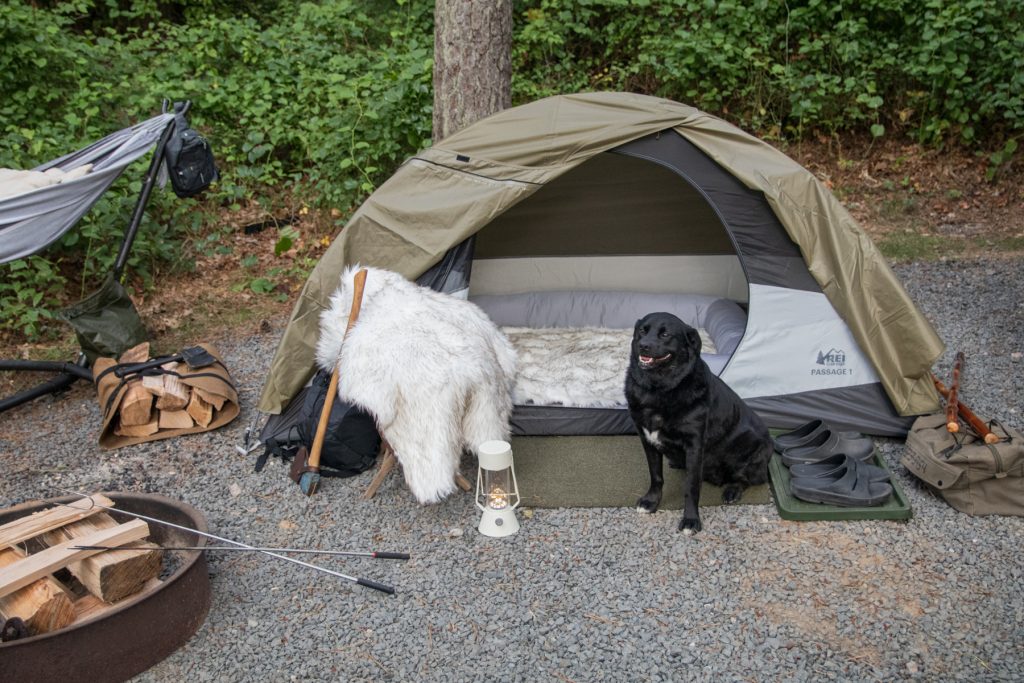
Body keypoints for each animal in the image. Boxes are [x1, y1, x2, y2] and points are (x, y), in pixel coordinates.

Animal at [622, 313, 770, 532]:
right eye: (642, 330)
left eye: (665, 334)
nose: (644, 346)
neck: (658, 390)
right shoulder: (647, 438)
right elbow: (656, 476)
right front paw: (651, 502)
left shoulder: (694, 445)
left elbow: (691, 487)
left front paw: (691, 519)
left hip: (752, 449)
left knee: (748, 478)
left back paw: (732, 491)